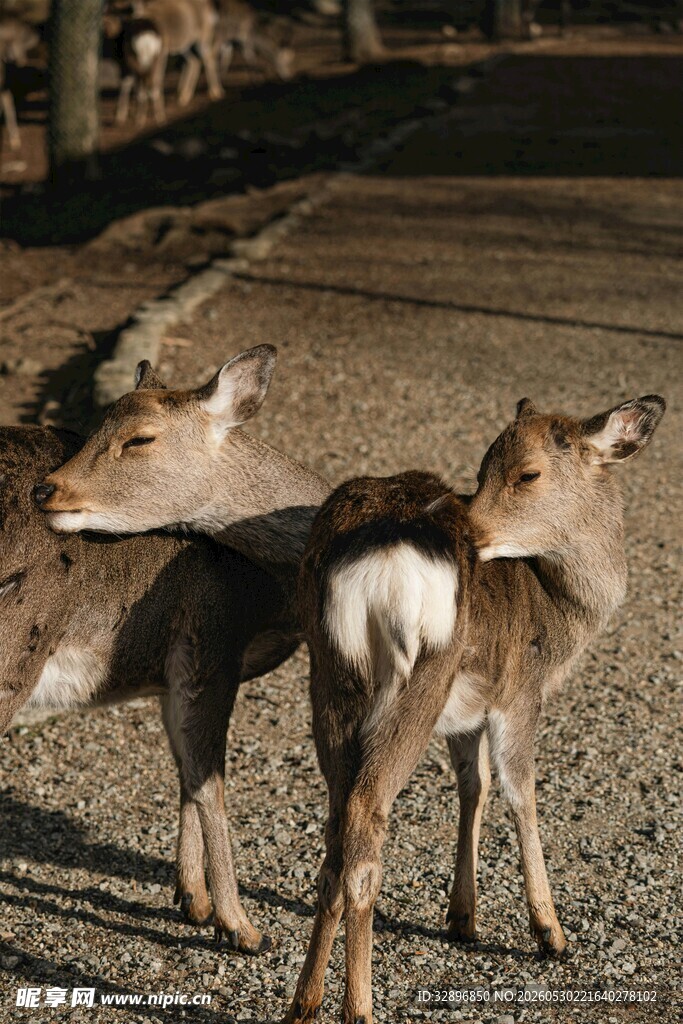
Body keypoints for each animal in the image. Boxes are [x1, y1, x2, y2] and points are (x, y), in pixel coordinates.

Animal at [2, 367, 306, 956]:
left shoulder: (169, 675)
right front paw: (240, 926)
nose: (47, 489)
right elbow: (211, 780)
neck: (269, 600)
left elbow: (184, 765)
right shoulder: (214, 642)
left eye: (139, 437)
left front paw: (192, 899)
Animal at [277, 393, 665, 1023]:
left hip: (330, 671)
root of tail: (383, 551)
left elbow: (473, 785)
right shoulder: (519, 692)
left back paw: (304, 1003)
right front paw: (551, 933)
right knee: (364, 822)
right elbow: (520, 790)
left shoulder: (466, 712)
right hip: (422, 675)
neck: (560, 616)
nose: (471, 527)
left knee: (336, 833)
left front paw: (462, 917)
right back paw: (359, 1007)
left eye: (525, 473)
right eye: (485, 470)